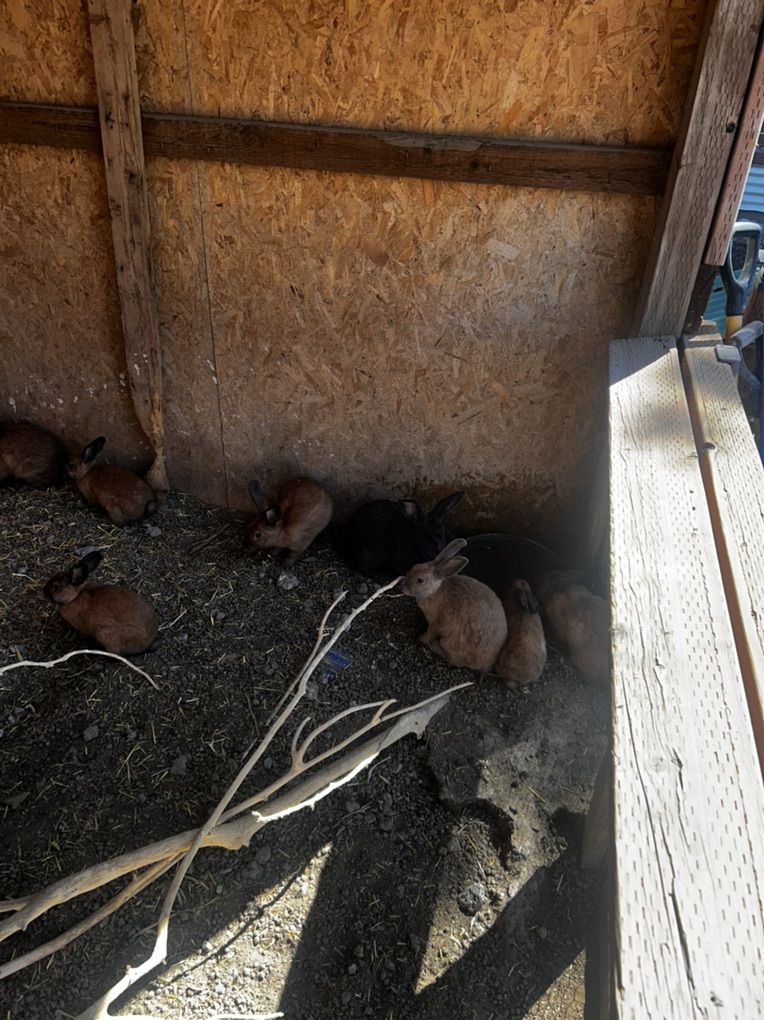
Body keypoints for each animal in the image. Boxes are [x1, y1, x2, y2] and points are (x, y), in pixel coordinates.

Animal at [402, 538, 507, 672]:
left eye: (420, 580)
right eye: (414, 566)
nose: (403, 588)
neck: (435, 591)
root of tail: (487, 665)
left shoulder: (434, 623)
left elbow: (430, 633)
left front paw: (422, 638)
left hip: (451, 642)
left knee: (455, 661)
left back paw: (435, 646)